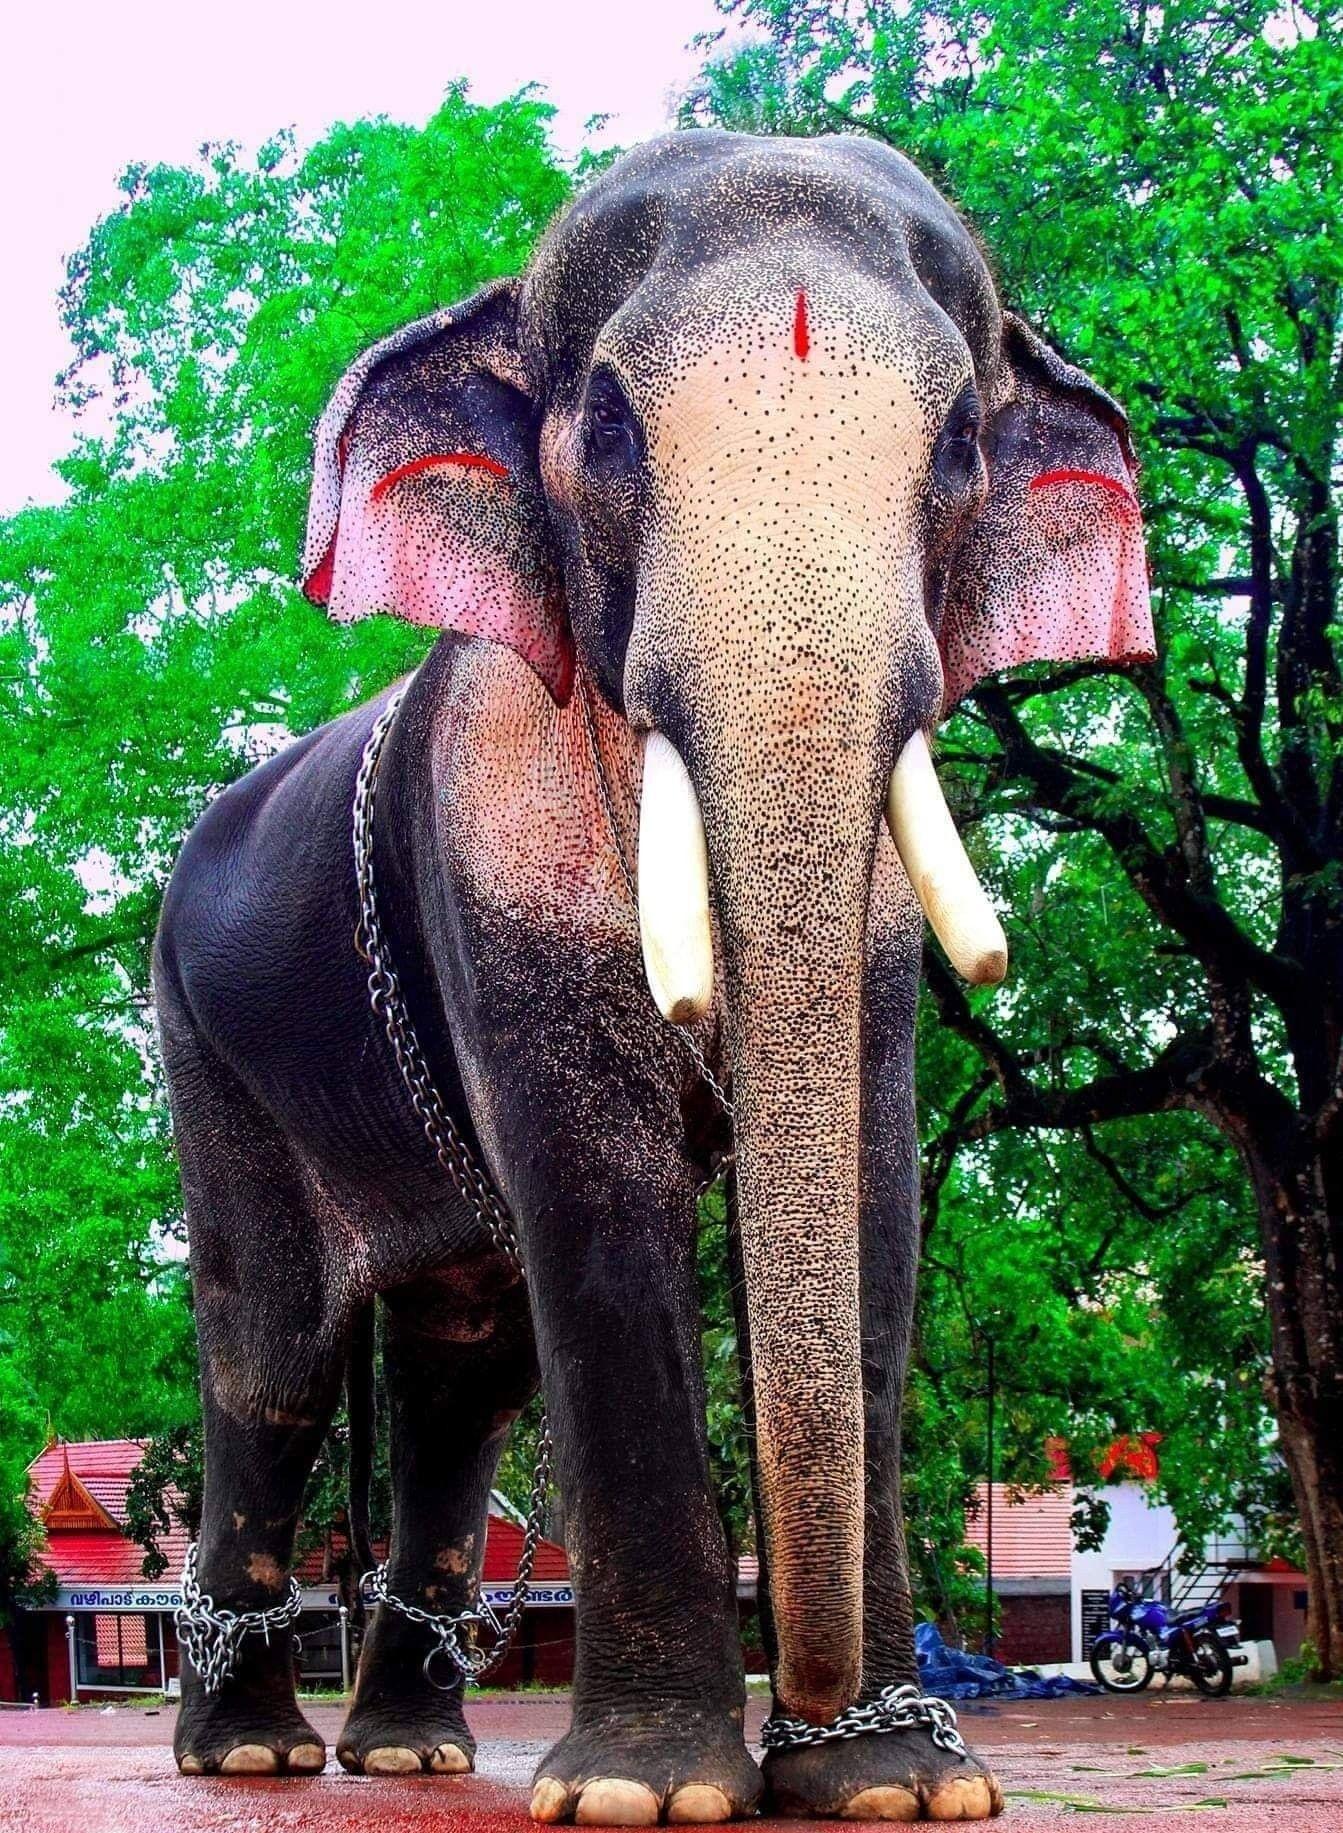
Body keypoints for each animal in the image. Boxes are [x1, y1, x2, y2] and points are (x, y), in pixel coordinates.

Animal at [153, 129, 1153, 1822]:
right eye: (610, 426)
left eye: (957, 441)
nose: (800, 1697)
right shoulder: (490, 845)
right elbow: (600, 1194)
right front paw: (648, 1792)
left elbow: (869, 1189)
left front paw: (892, 1787)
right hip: (209, 1059)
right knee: (273, 1356)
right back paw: (257, 1753)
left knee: (461, 1371)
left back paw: (408, 1748)